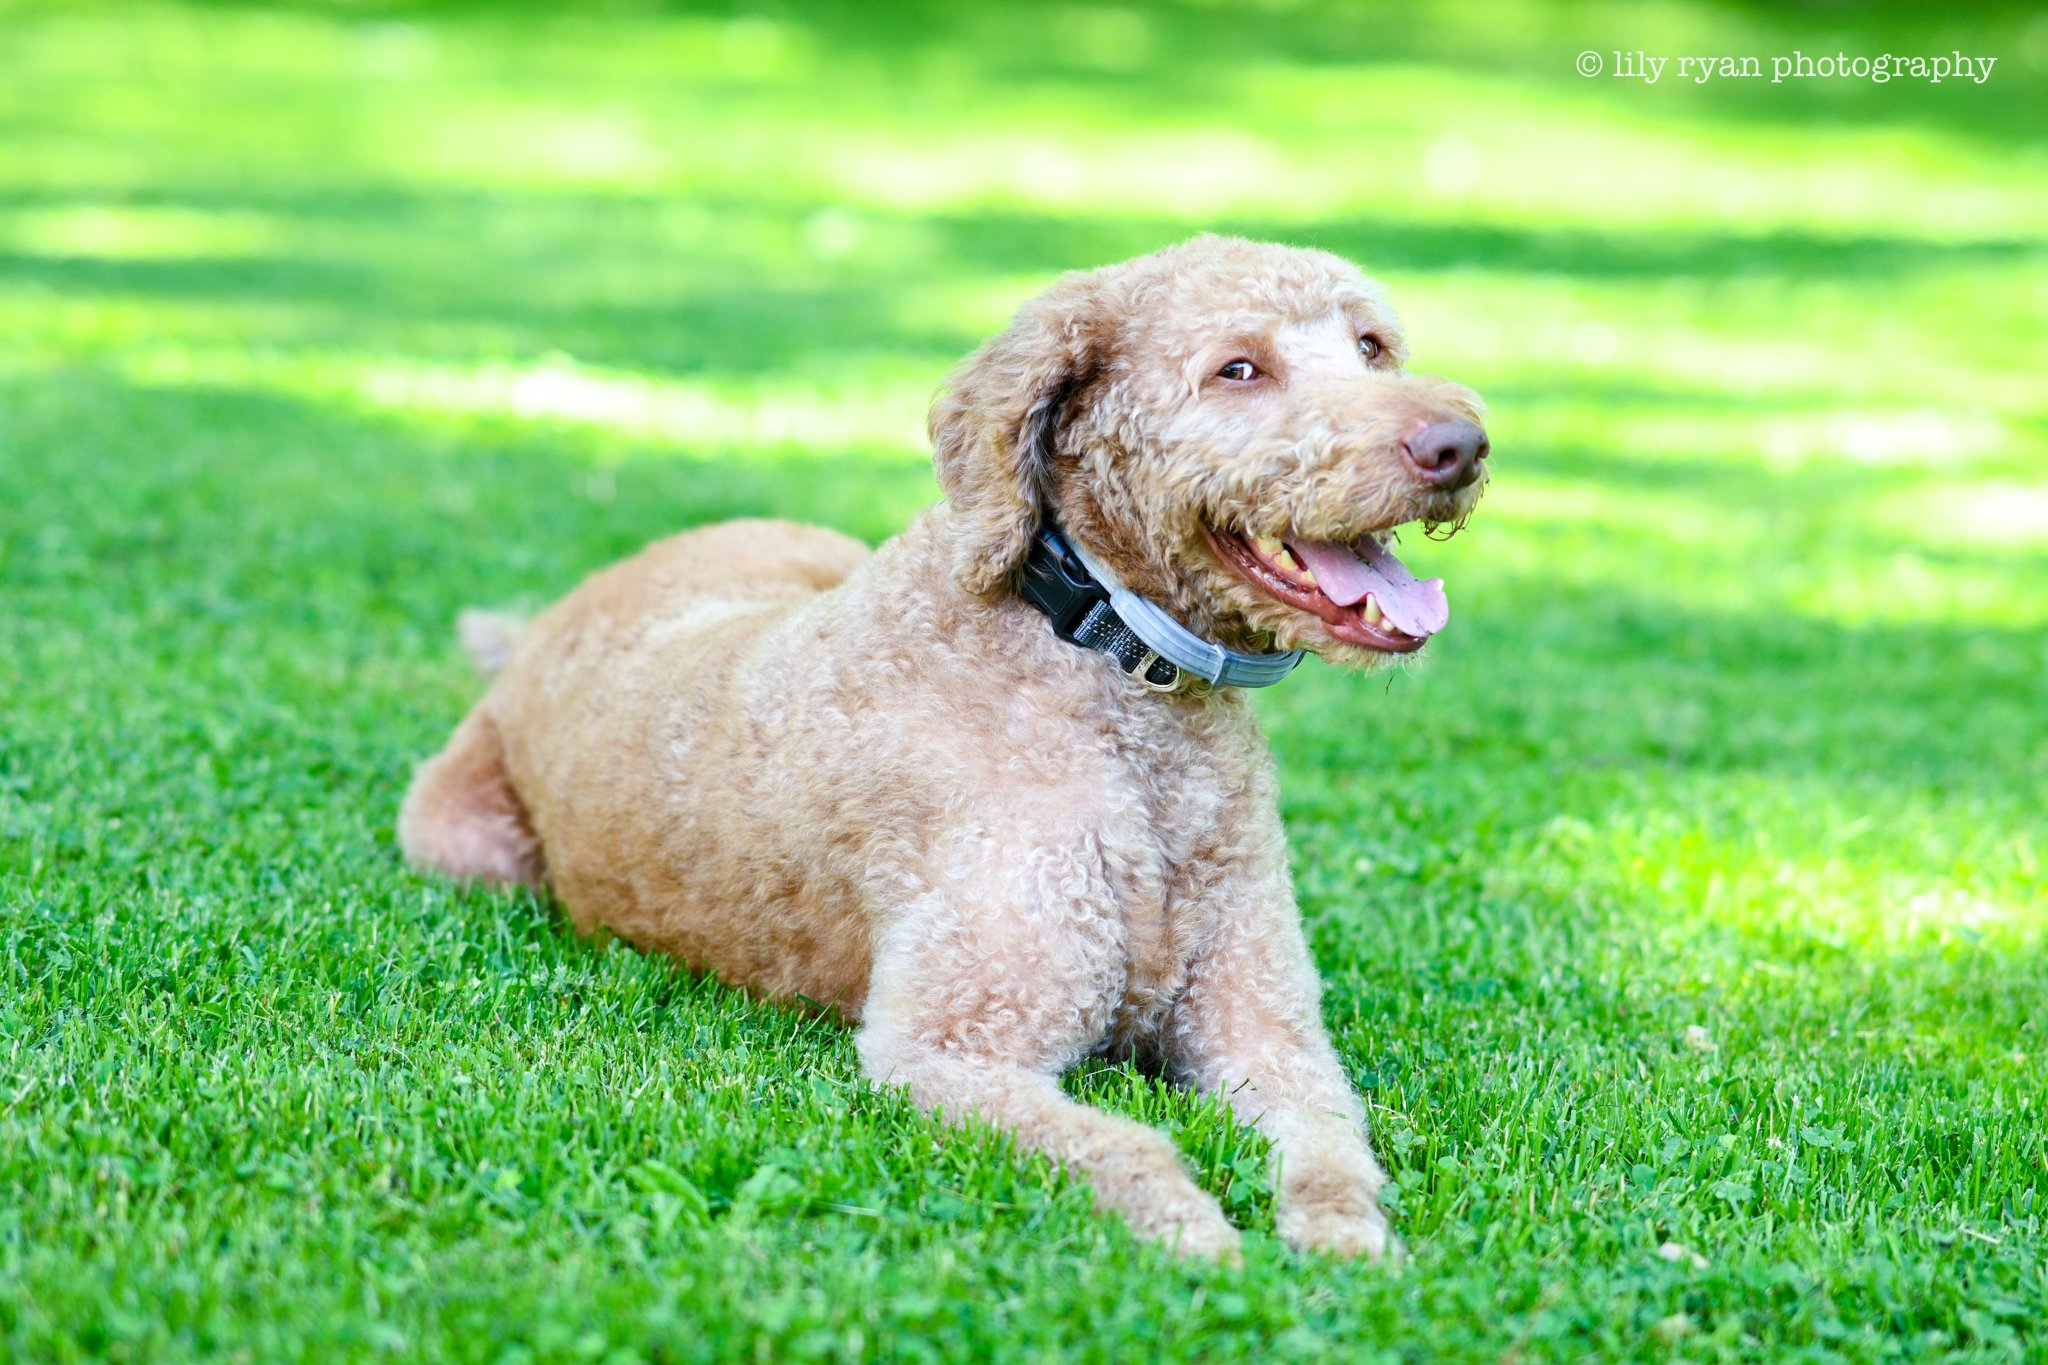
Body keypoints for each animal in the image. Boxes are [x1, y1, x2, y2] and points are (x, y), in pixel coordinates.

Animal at [399, 235, 1489, 1261]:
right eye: (1238, 369)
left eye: (1371, 345)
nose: (1462, 445)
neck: (1098, 656)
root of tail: (554, 617)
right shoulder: (951, 1051)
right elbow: (1128, 1146)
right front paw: (1199, 1239)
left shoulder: (1263, 1023)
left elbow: (1329, 1143)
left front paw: (1344, 1239)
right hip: (459, 842)